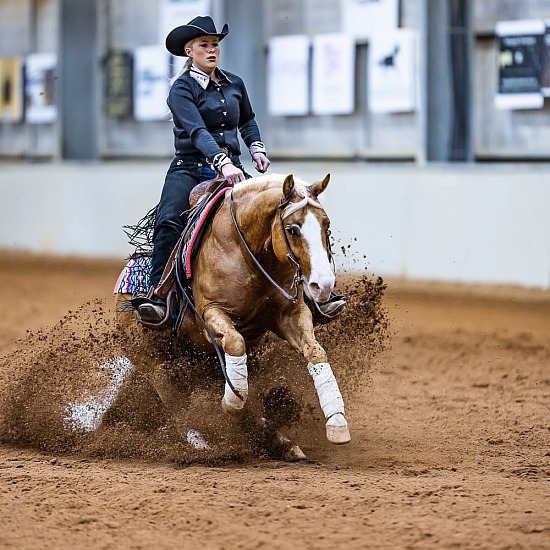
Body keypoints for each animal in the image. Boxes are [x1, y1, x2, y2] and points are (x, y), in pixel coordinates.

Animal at [117, 175, 352, 460]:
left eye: (326, 225)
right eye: (292, 229)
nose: (323, 285)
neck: (246, 253)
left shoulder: (291, 314)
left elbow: (315, 352)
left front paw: (337, 422)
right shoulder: (211, 315)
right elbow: (235, 344)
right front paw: (232, 400)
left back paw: (279, 440)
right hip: (154, 363)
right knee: (176, 405)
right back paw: (202, 443)